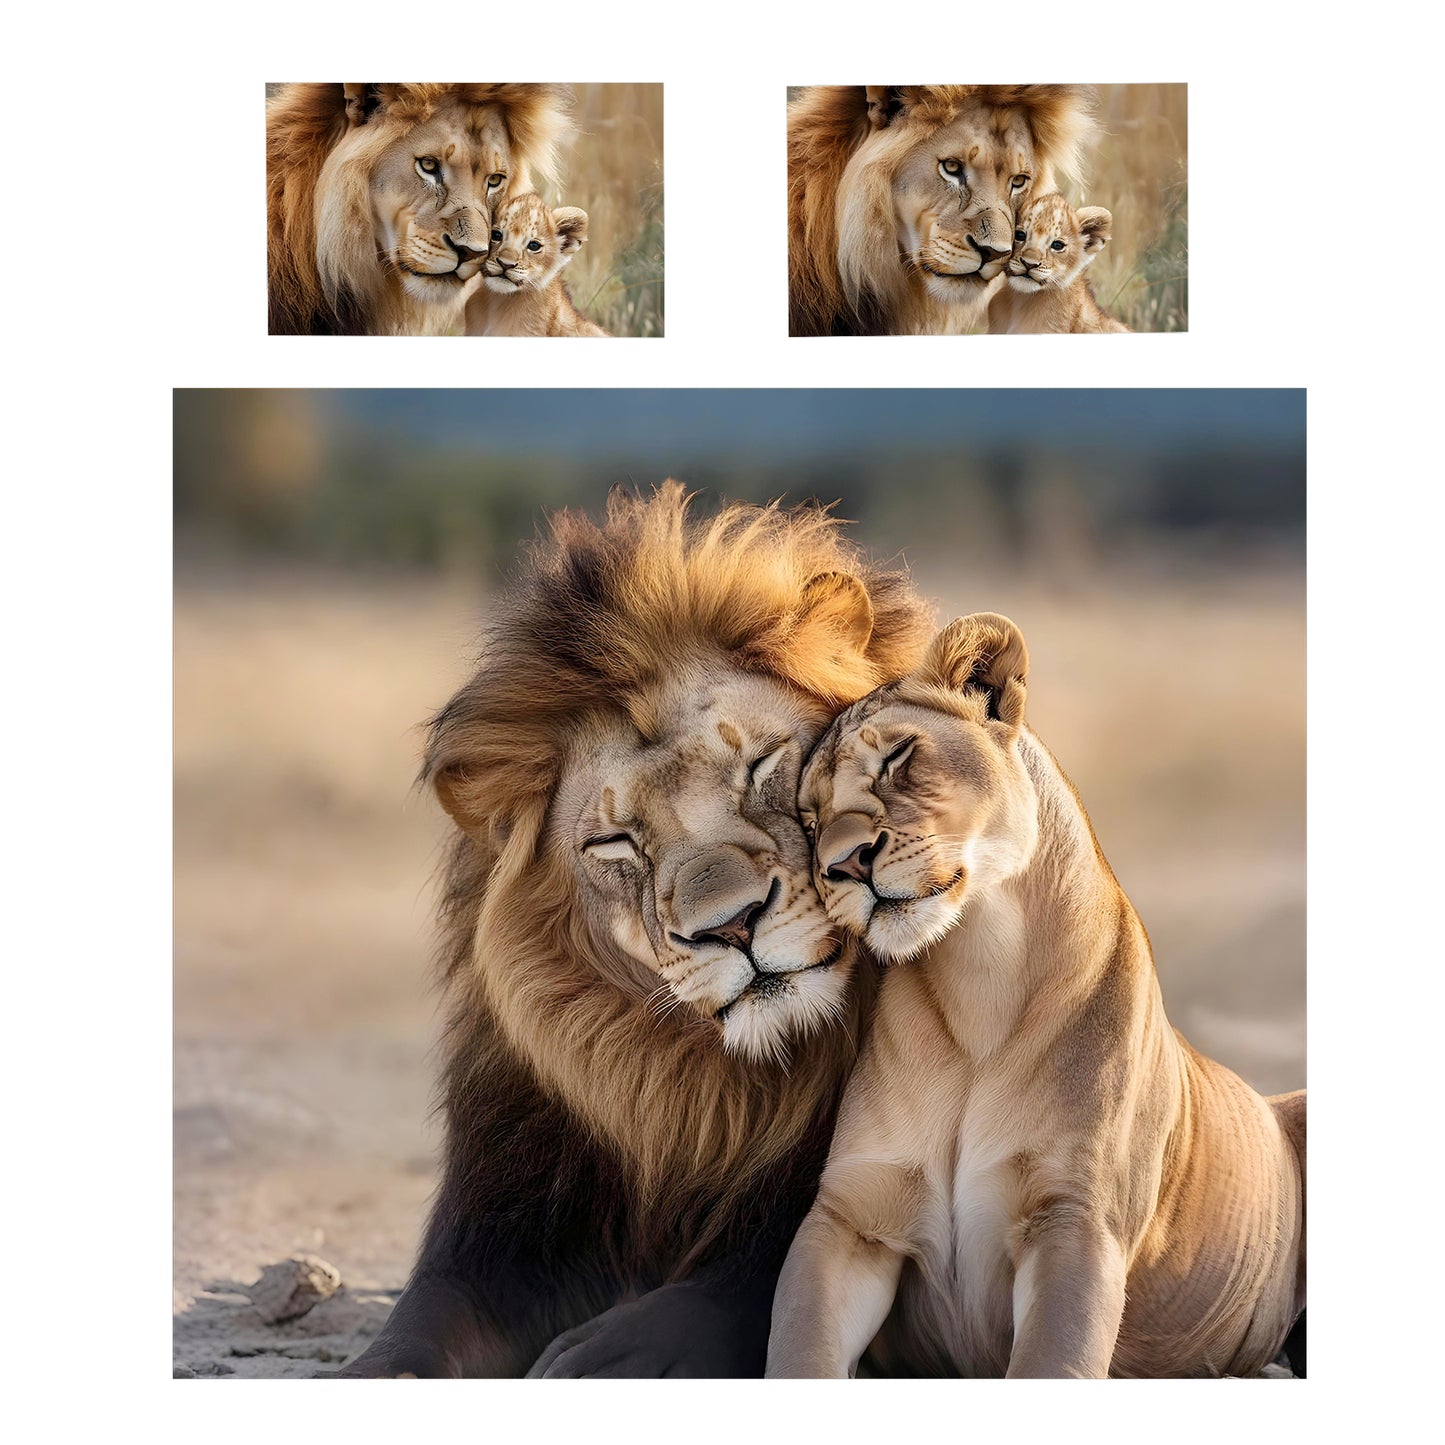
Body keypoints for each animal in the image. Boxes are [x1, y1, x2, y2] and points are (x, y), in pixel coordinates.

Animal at [331, 483, 934, 1377]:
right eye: (615, 841)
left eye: (760, 765)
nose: (731, 924)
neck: (709, 1090)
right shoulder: (501, 1234)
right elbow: (416, 1327)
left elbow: (748, 1286)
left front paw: (604, 1358)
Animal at [768, 614, 1306, 1378]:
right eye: (809, 821)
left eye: (898, 756)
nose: (842, 864)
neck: (979, 973)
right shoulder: (851, 1218)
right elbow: (798, 1352)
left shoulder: (1075, 1224)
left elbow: (1052, 1361)